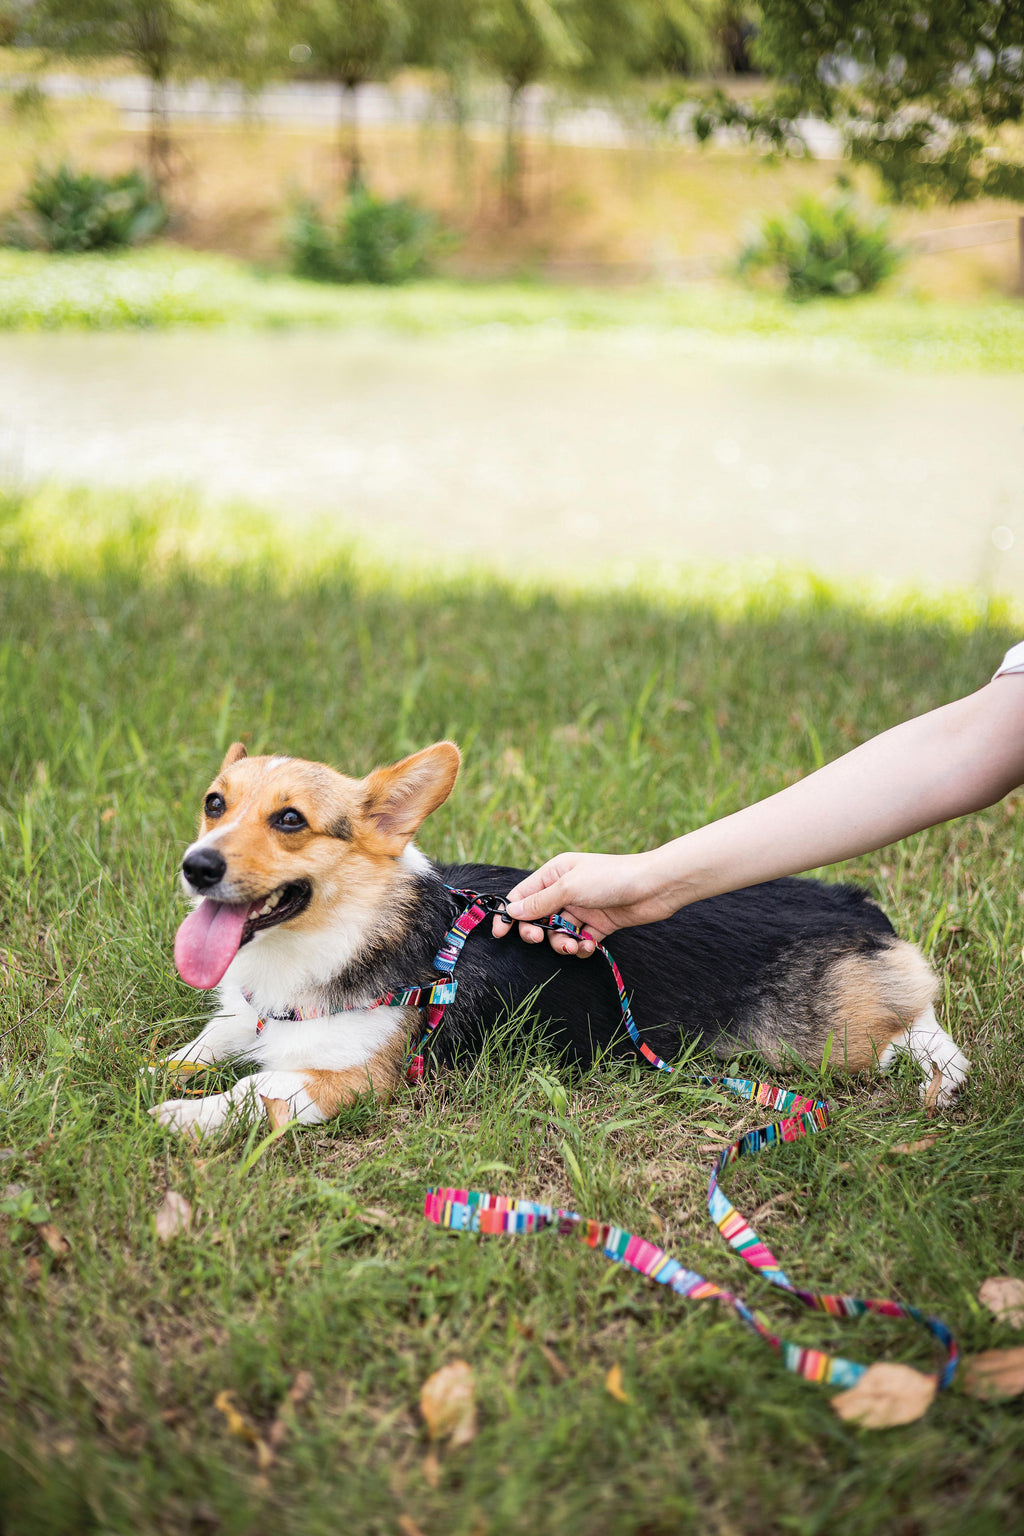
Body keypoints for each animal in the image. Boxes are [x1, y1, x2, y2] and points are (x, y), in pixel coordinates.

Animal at [150, 737, 970, 1136]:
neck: (334, 933)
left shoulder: (354, 1077)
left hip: (825, 1040)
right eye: (213, 804)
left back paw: (944, 1075)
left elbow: (260, 1088)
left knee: (912, 1020)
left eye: (290, 820)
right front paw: (166, 1070)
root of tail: (852, 902)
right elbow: (214, 1040)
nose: (197, 866)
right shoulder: (248, 1017)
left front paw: (186, 1117)